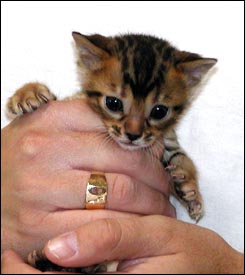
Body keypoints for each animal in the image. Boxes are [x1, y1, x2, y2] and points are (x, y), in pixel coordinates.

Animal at [6, 32, 216, 274]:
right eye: (113, 103)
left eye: (159, 111)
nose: (133, 134)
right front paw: (28, 94)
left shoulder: (166, 141)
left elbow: (181, 157)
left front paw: (189, 188)